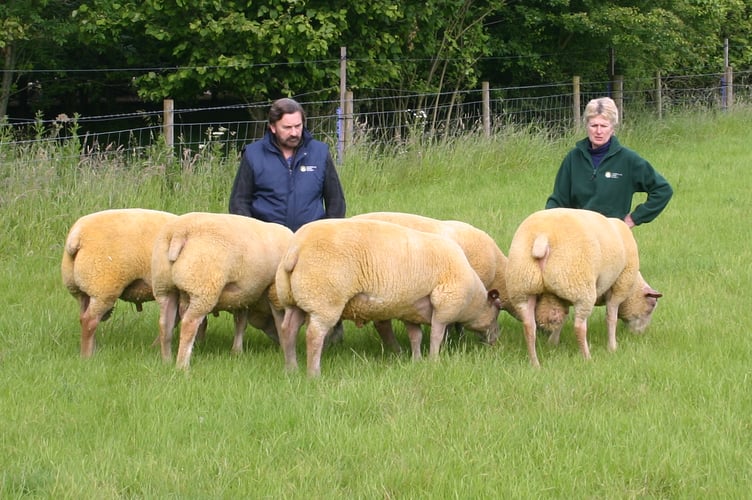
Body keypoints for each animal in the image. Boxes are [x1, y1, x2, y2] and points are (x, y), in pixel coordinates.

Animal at [61, 209, 178, 358]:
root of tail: (76, 235)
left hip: (82, 289)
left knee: (83, 317)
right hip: (102, 287)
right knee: (89, 320)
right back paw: (87, 357)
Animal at [151, 211, 294, 368]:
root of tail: (179, 233)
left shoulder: (242, 295)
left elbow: (241, 322)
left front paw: (237, 351)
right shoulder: (273, 291)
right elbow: (279, 320)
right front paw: (284, 348)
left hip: (164, 286)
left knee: (165, 324)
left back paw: (167, 361)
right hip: (203, 287)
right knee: (189, 323)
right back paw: (182, 366)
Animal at [274, 217, 502, 376]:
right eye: (496, 311)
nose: (495, 341)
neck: (472, 299)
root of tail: (295, 250)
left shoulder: (411, 310)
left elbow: (416, 336)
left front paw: (417, 360)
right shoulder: (445, 304)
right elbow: (437, 335)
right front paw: (434, 360)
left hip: (295, 299)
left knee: (288, 329)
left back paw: (291, 368)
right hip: (325, 299)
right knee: (314, 335)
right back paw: (314, 374)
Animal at [506, 207, 664, 368]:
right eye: (651, 306)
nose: (640, 334)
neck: (633, 288)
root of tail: (542, 238)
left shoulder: (563, 296)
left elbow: (562, 318)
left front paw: (553, 342)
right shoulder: (620, 286)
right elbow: (611, 317)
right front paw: (612, 347)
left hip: (523, 289)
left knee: (529, 327)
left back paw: (535, 364)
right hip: (581, 288)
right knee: (579, 327)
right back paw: (587, 357)